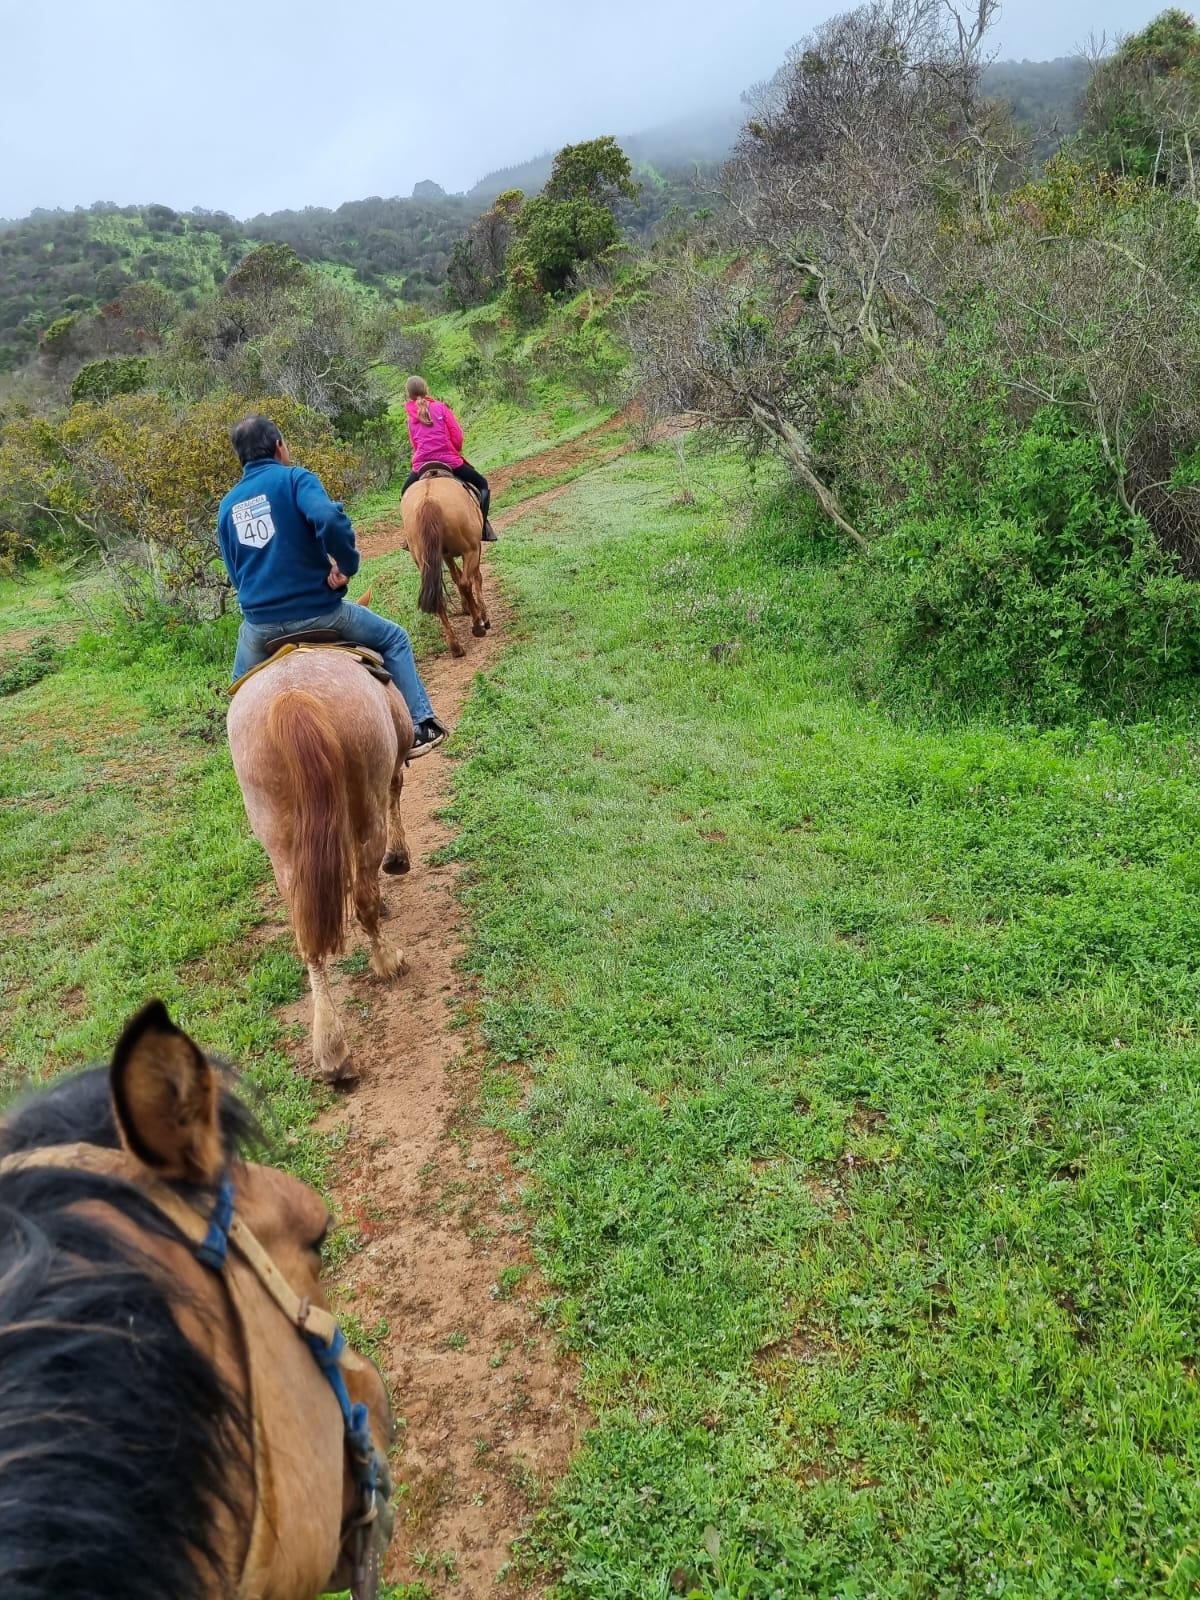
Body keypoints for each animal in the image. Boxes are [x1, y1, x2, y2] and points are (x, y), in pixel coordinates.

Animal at [230, 649, 419, 1088]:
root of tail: (292, 698)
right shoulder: (390, 771)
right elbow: (396, 791)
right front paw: (397, 859)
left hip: (282, 843)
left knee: (309, 936)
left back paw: (332, 1050)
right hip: (365, 809)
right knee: (365, 896)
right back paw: (387, 960)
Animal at [401, 467, 489, 656]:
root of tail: (429, 500)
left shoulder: (445, 556)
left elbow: (456, 576)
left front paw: (467, 607)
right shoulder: (474, 548)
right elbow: (474, 578)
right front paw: (483, 615)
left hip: (423, 559)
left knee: (439, 597)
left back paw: (455, 646)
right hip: (470, 549)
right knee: (466, 583)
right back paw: (478, 626)